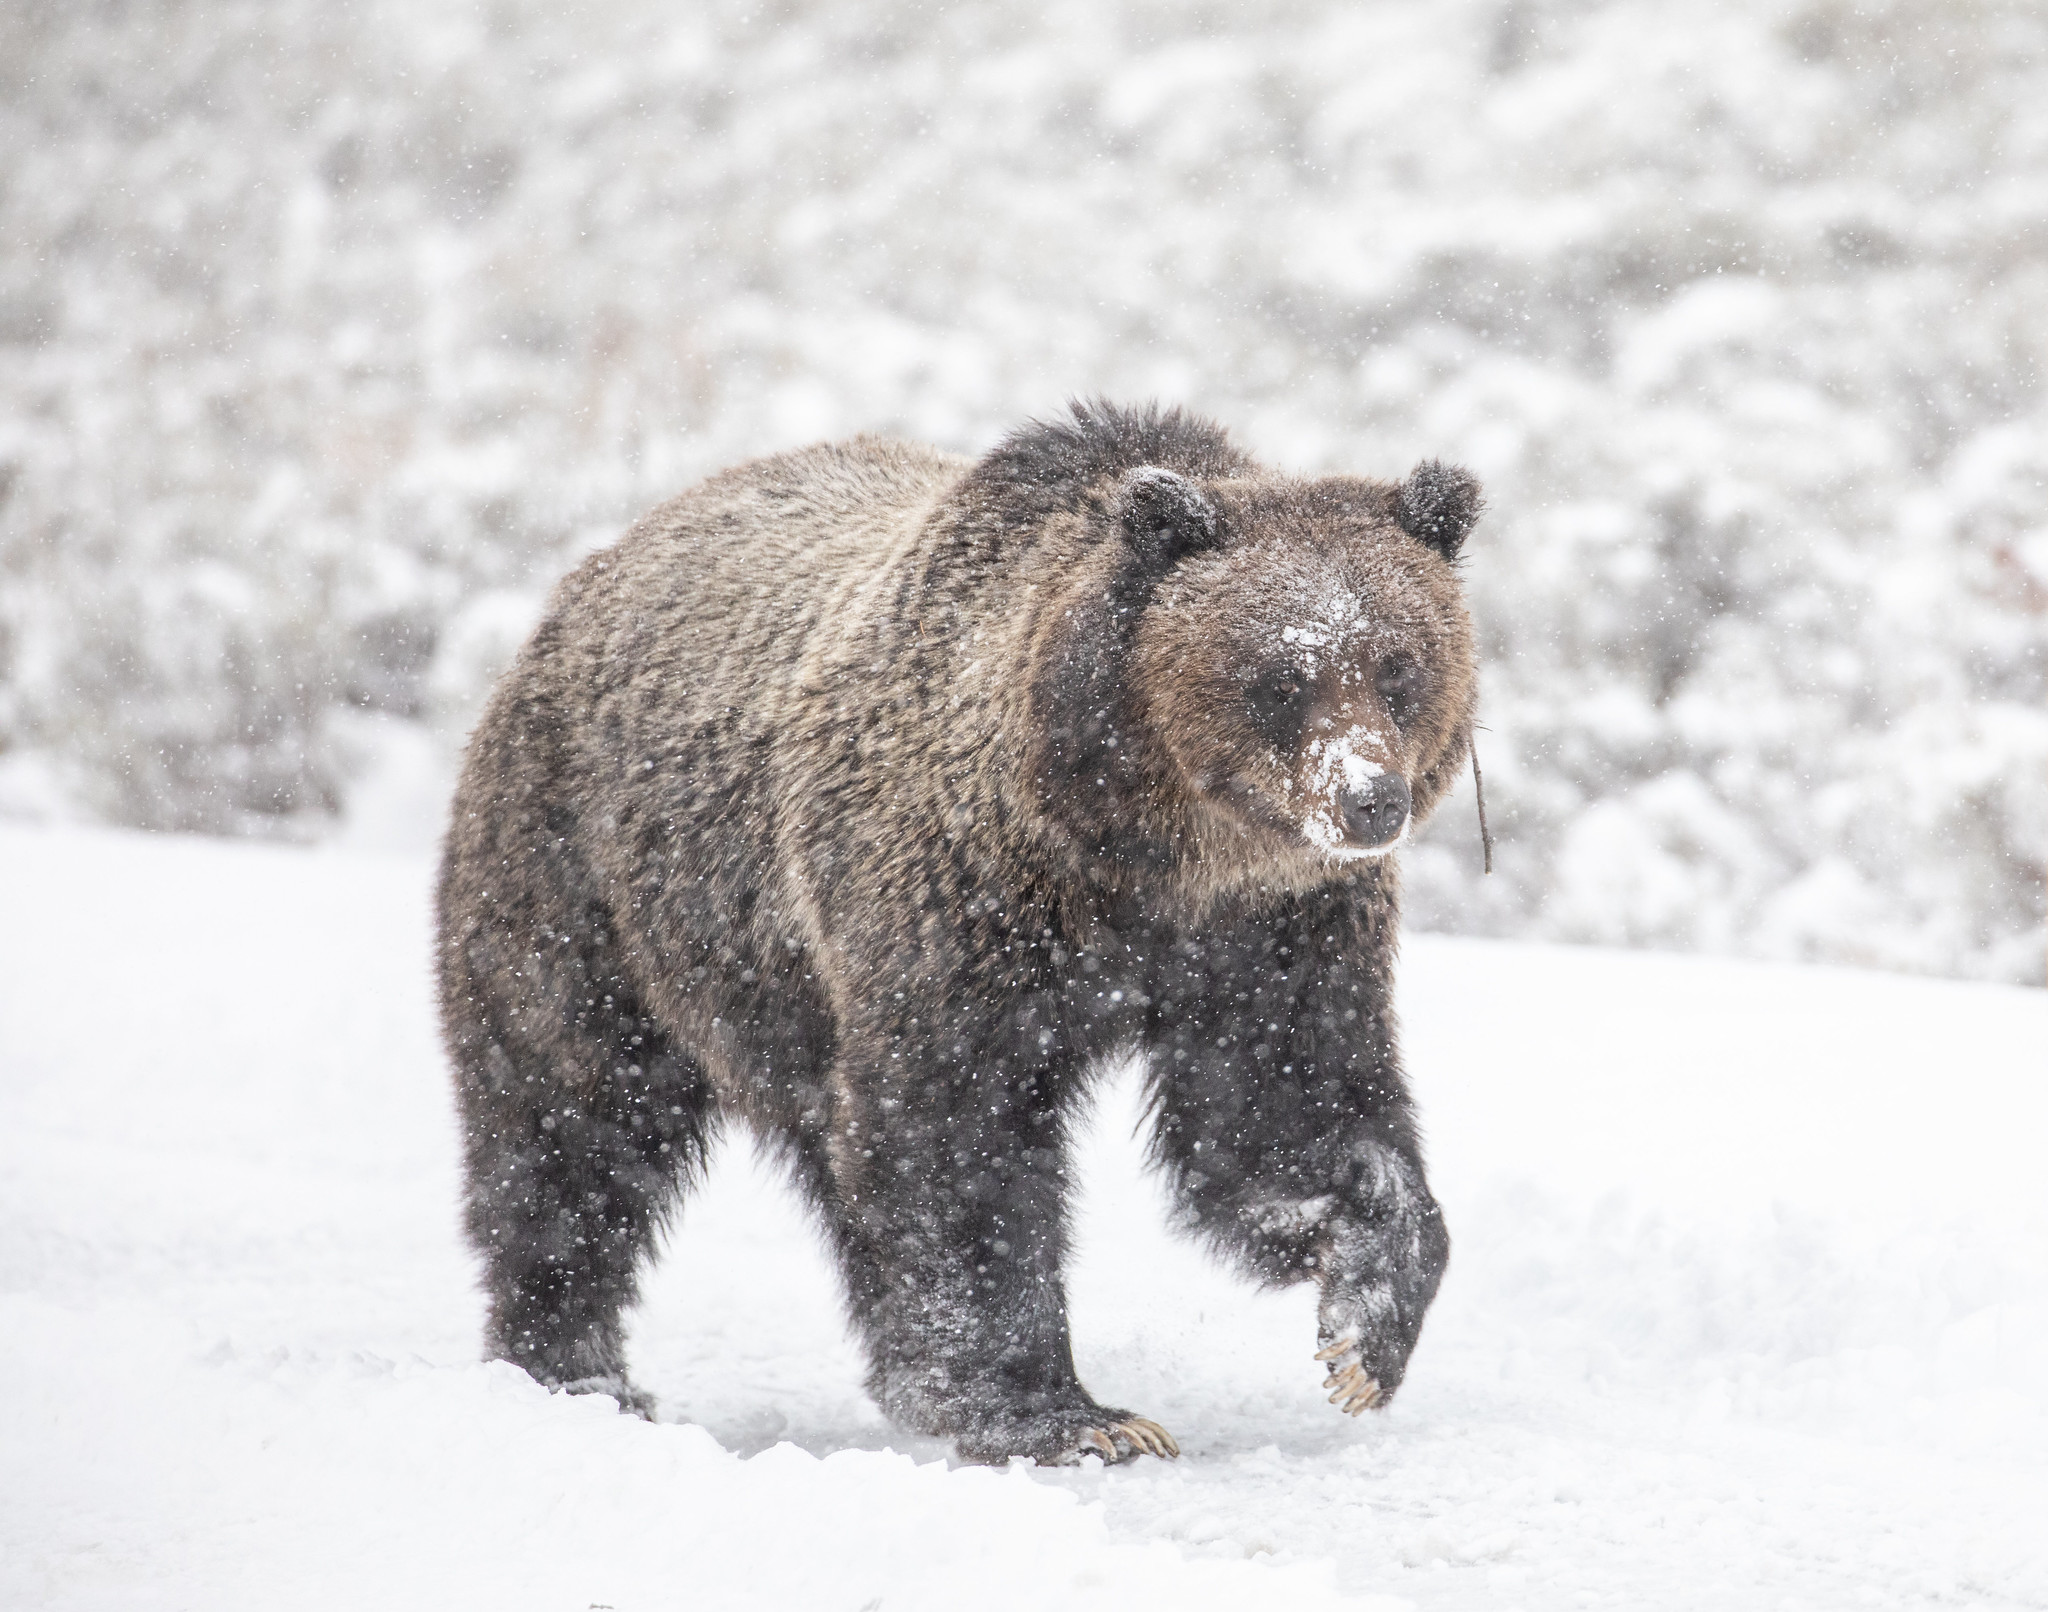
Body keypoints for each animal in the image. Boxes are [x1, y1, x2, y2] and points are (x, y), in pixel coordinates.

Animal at [440, 399, 1482, 1466]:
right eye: (1281, 677)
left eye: (1399, 666)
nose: (1369, 799)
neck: (1143, 860)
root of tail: (589, 575)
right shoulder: (965, 905)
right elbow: (959, 1138)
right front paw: (1063, 1414)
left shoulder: (1276, 935)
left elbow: (1290, 1109)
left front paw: (1362, 1329)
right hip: (594, 892)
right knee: (571, 1126)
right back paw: (576, 1370)